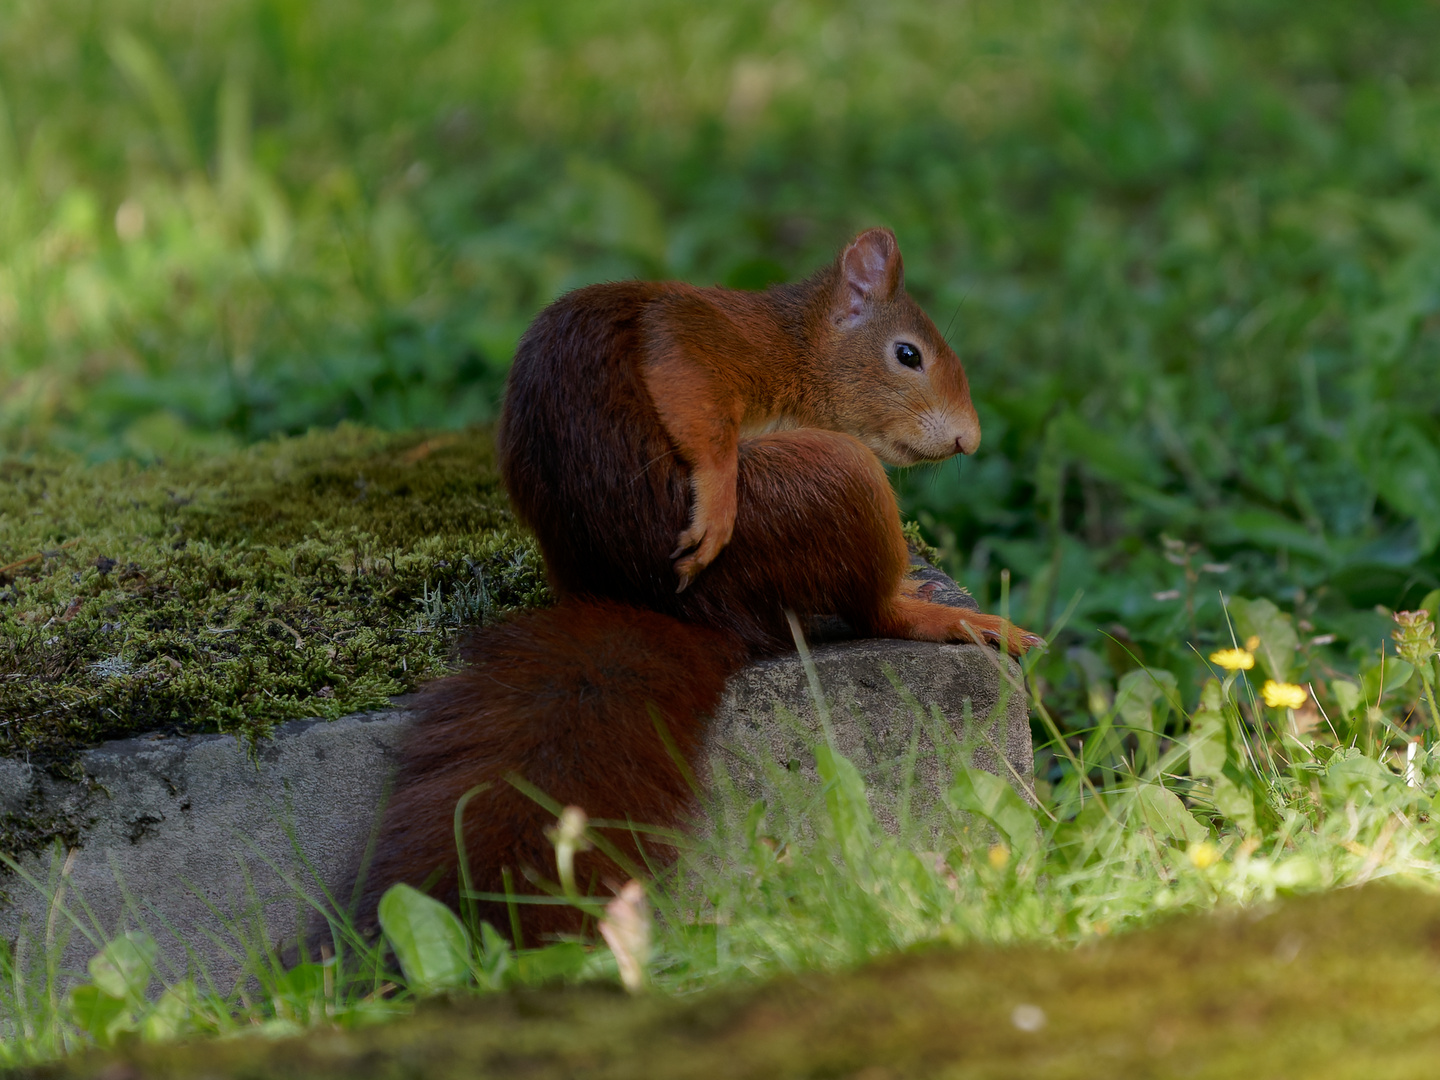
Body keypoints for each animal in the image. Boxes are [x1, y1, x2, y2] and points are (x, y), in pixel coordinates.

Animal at [355, 230, 1042, 944]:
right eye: (908, 355)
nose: (970, 438)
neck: (799, 344)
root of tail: (676, 608)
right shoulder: (713, 338)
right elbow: (689, 380)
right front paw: (715, 494)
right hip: (835, 476)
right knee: (872, 610)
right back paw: (938, 615)